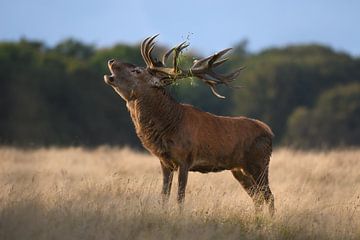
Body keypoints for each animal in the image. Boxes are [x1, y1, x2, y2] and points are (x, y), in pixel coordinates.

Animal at [104, 34, 276, 216]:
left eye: (136, 71)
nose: (112, 60)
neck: (170, 126)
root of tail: (269, 132)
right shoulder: (165, 162)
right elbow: (164, 196)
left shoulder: (185, 158)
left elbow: (180, 196)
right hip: (239, 169)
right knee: (257, 197)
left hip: (259, 162)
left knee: (269, 196)